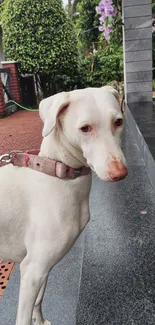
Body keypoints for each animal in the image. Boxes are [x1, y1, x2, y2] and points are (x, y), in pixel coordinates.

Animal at [0, 86, 127, 324]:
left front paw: (40, 321)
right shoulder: (32, 269)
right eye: (85, 128)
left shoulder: (43, 268)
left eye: (118, 122)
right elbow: (23, 316)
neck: (58, 174)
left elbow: (39, 301)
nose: (120, 173)